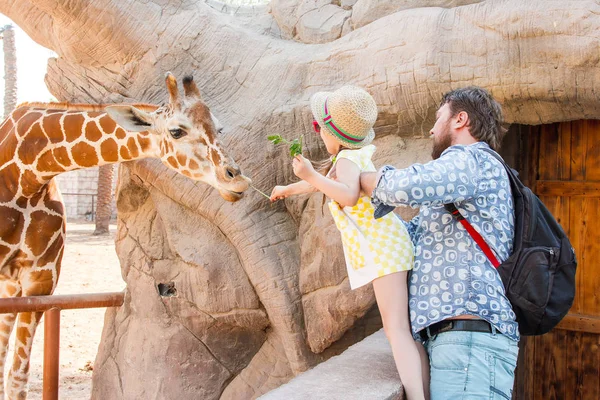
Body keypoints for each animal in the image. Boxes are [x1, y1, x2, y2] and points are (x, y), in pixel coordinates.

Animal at [0, 72, 251, 400]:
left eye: (218, 127)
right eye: (176, 131)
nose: (237, 180)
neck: (26, 173)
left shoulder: (40, 280)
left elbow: (17, 376)